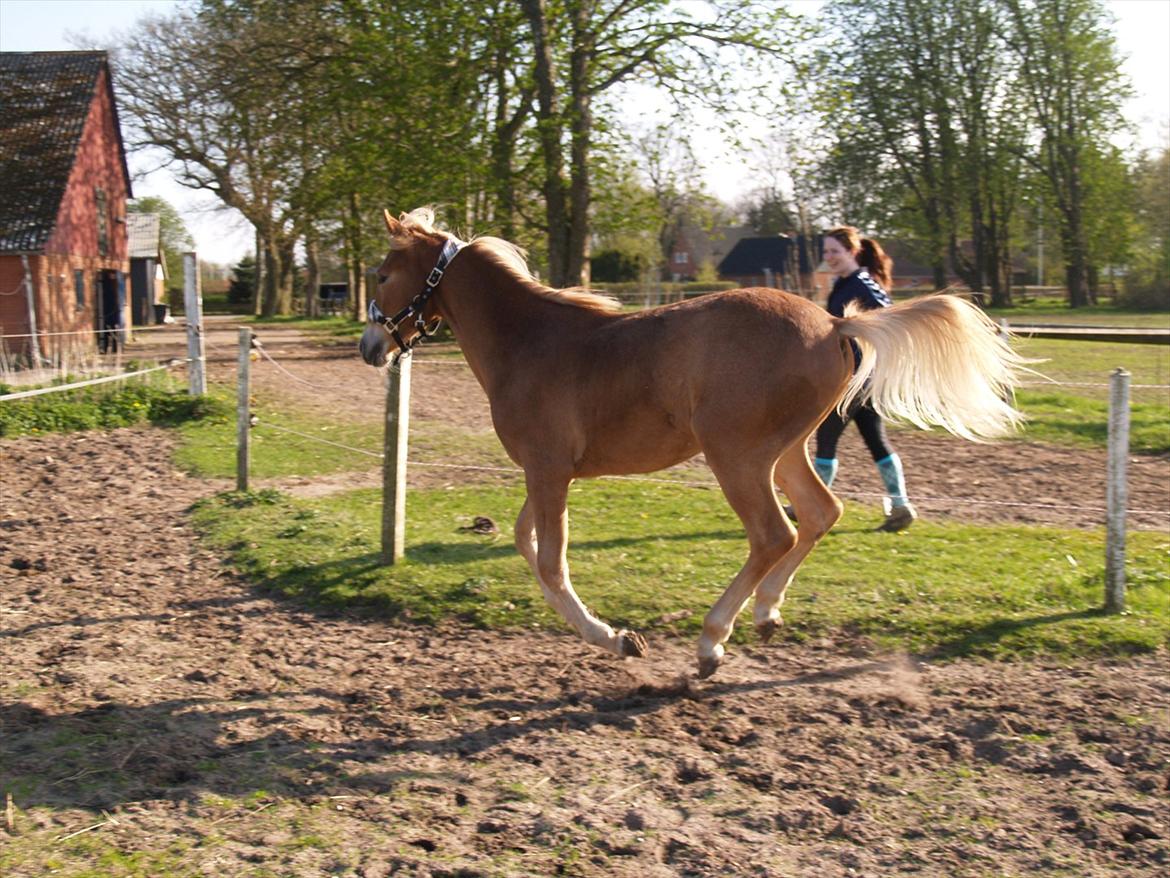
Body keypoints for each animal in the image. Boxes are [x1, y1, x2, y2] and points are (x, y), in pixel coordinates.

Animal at [360, 208, 1027, 679]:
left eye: (383, 275)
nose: (372, 347)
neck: (528, 341)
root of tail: (836, 322)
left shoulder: (547, 470)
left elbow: (549, 560)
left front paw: (618, 640)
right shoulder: (549, 472)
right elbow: (527, 544)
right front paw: (617, 637)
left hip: (737, 455)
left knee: (775, 533)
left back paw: (712, 643)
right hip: (784, 450)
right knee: (819, 512)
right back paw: (766, 613)